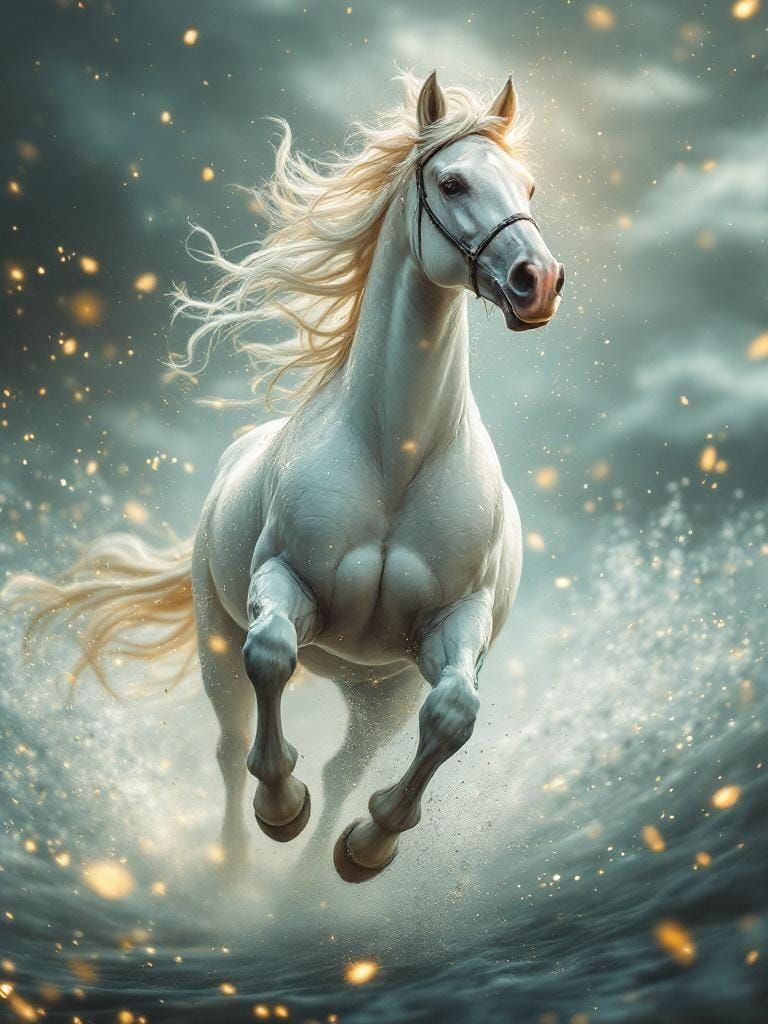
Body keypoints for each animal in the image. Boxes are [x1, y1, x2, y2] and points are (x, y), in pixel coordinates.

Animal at [6, 71, 564, 883]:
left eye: (528, 185)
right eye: (452, 181)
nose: (538, 281)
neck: (396, 457)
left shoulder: (455, 627)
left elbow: (453, 717)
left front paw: (370, 844)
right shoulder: (282, 584)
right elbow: (269, 656)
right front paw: (281, 807)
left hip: (378, 692)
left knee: (346, 768)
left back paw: (315, 879)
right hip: (217, 639)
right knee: (231, 741)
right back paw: (238, 866)